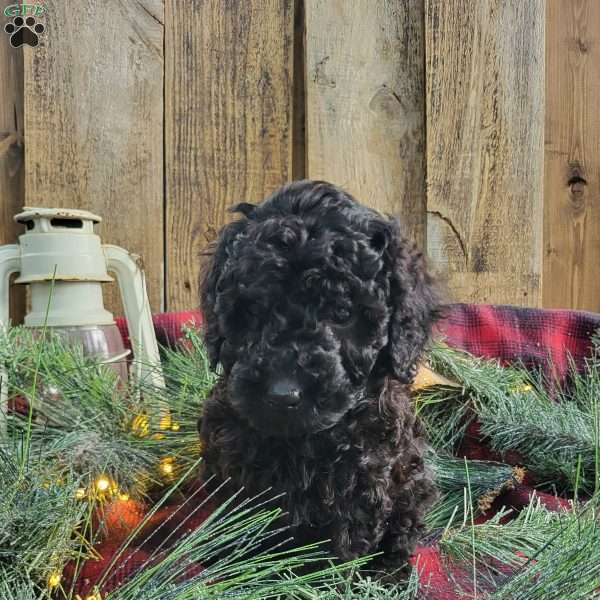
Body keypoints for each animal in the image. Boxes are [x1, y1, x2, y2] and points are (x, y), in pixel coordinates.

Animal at [199, 179, 438, 576]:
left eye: (342, 314)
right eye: (255, 311)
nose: (283, 394)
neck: (303, 441)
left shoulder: (364, 477)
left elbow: (342, 544)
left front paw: (325, 580)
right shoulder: (233, 464)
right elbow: (238, 527)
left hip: (413, 478)